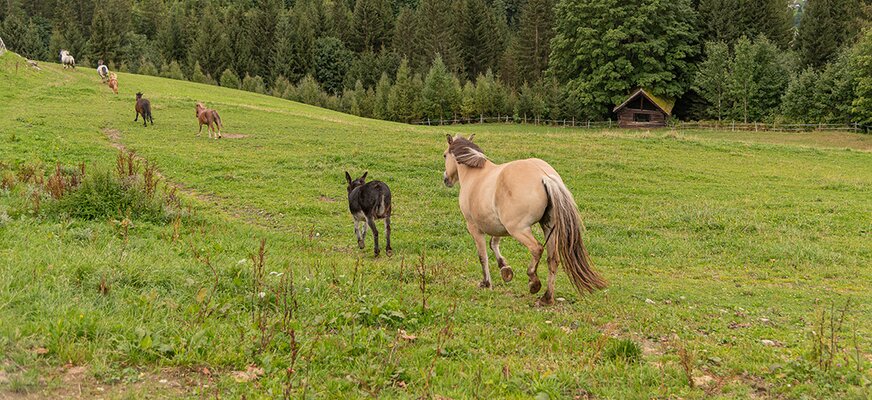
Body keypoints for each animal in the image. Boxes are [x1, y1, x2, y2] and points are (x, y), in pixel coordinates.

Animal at [442, 134, 608, 306]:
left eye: (444, 155)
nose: (446, 179)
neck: (475, 176)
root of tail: (544, 176)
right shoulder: (499, 226)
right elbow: (493, 244)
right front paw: (505, 270)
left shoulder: (474, 228)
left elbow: (483, 256)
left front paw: (486, 283)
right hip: (548, 227)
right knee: (553, 259)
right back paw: (547, 297)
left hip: (519, 230)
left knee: (537, 249)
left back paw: (534, 282)